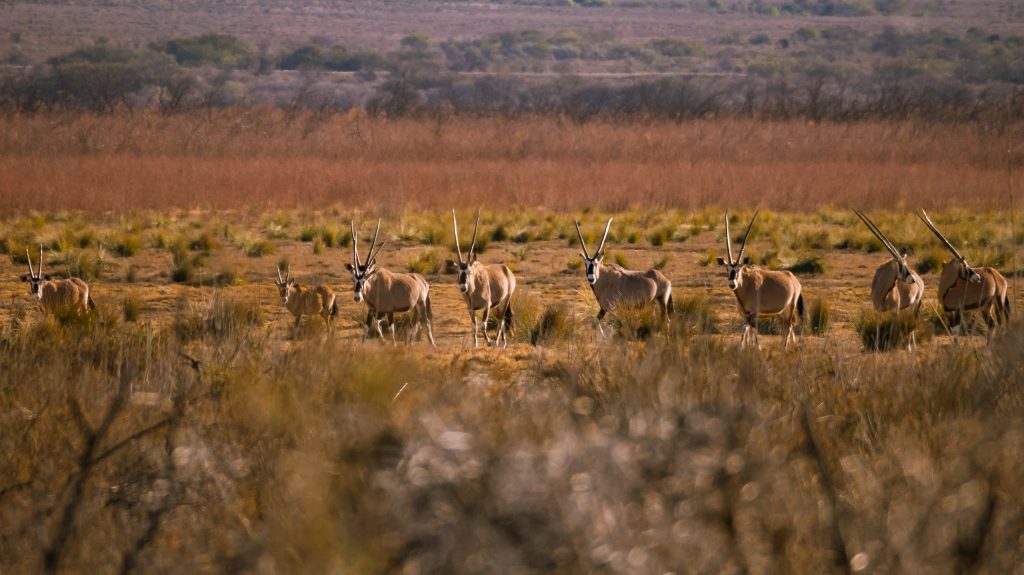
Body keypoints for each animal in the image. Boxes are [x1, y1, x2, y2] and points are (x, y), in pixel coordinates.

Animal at [452, 209, 516, 347]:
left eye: (469, 272)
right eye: (458, 272)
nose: (463, 288)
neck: (473, 289)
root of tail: (507, 270)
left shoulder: (487, 305)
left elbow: (483, 325)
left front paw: (489, 341)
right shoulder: (471, 309)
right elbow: (474, 327)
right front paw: (475, 345)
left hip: (506, 299)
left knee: (501, 320)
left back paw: (497, 341)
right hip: (497, 305)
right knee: (502, 320)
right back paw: (503, 342)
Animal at [716, 209, 802, 347]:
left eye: (739, 269)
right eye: (727, 269)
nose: (732, 284)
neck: (746, 285)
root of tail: (793, 278)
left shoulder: (753, 314)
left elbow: (749, 330)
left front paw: (755, 347)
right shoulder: (745, 314)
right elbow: (749, 331)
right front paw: (747, 347)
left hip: (790, 307)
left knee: (788, 327)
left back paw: (784, 348)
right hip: (780, 313)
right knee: (788, 328)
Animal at [851, 207, 925, 347]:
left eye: (905, 264)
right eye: (900, 265)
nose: (912, 280)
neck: (882, 288)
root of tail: (920, 279)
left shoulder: (894, 311)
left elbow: (892, 330)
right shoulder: (878, 310)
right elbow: (878, 328)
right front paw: (877, 347)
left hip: (914, 304)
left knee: (911, 323)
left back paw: (911, 345)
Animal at [921, 207, 1007, 339]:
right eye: (965, 266)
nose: (977, 277)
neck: (946, 288)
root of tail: (997, 275)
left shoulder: (958, 310)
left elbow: (956, 332)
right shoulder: (948, 312)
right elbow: (953, 332)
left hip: (998, 302)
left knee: (1000, 324)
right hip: (985, 307)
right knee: (992, 325)